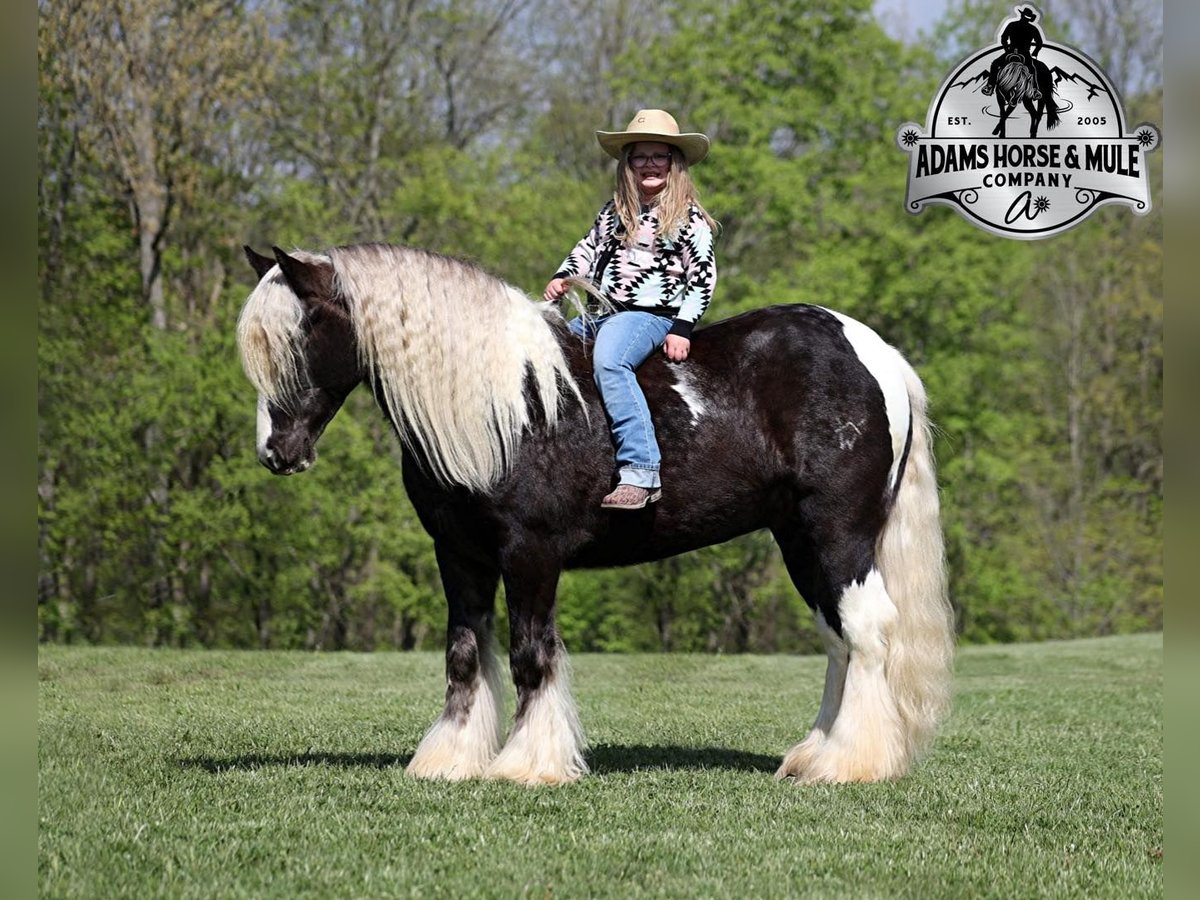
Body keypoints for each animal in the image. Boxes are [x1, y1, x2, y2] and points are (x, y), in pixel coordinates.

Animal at [236, 243, 955, 787]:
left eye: (301, 332)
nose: (276, 451)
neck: (508, 404)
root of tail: (877, 355)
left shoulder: (530, 552)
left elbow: (530, 655)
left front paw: (526, 765)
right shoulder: (459, 554)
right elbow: (464, 654)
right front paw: (450, 760)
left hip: (838, 533)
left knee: (868, 630)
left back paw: (850, 763)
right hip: (799, 539)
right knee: (838, 639)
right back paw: (813, 755)